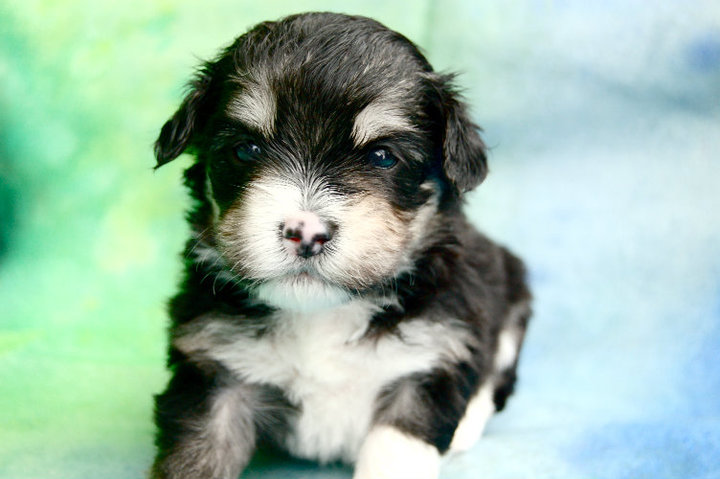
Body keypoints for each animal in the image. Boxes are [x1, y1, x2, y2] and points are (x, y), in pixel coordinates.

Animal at [152, 13, 532, 479]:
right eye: (247, 149)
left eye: (383, 156)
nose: (306, 232)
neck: (322, 315)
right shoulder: (213, 373)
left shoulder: (428, 365)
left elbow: (396, 452)